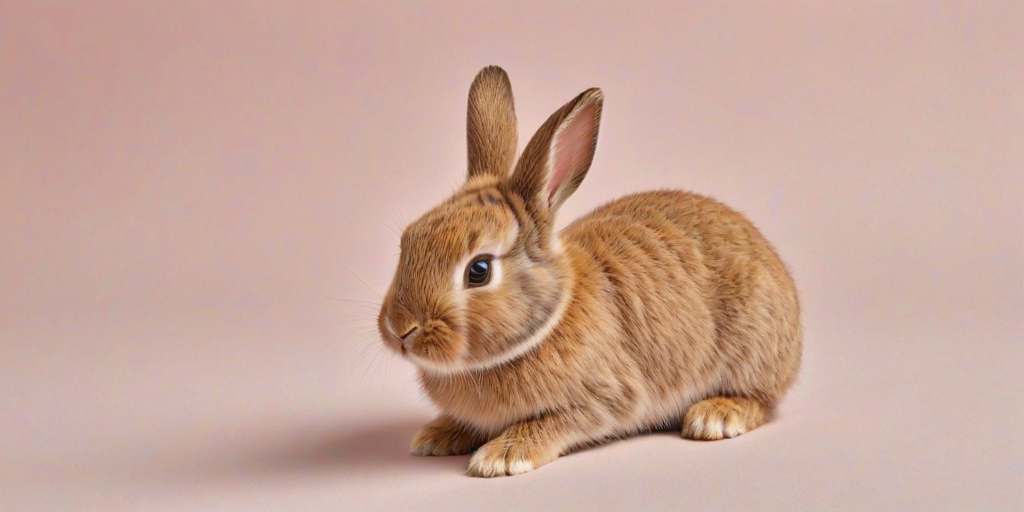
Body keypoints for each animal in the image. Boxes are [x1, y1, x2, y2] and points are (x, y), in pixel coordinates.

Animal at [376, 65, 802, 478]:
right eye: (407, 240)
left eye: (478, 270)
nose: (400, 329)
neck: (546, 321)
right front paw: (437, 435)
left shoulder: (607, 399)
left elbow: (557, 422)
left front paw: (503, 456)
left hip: (754, 344)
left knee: (761, 399)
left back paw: (715, 416)